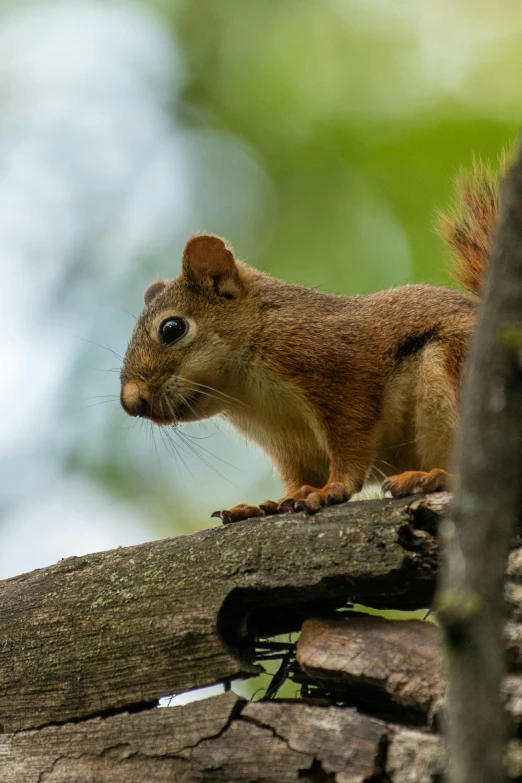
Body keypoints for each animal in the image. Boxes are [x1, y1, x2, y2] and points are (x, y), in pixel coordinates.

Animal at [120, 156, 502, 524]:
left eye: (172, 329)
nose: (130, 401)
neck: (247, 392)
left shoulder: (339, 374)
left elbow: (351, 445)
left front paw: (333, 488)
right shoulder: (290, 445)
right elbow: (299, 477)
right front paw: (270, 504)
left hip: (456, 366)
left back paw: (433, 476)